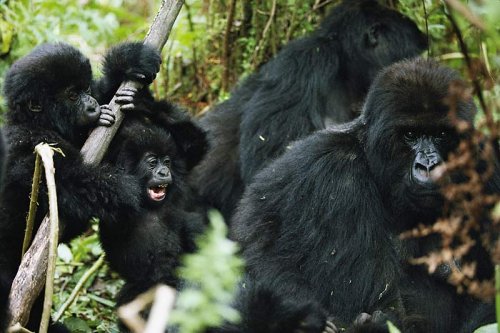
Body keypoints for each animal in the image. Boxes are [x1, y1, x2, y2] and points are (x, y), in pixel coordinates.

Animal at [0, 41, 160, 330]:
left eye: (85, 89)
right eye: (73, 96)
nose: (91, 104)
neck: (36, 121)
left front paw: (128, 62)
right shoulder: (28, 147)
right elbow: (77, 185)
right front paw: (129, 187)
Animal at [98, 87, 208, 306]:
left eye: (166, 162)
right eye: (152, 162)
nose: (164, 172)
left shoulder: (181, 164)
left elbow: (196, 145)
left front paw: (146, 104)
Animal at [229, 58, 498, 330]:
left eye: (442, 134)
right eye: (410, 135)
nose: (429, 166)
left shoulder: (486, 165)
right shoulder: (339, 176)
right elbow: (378, 306)